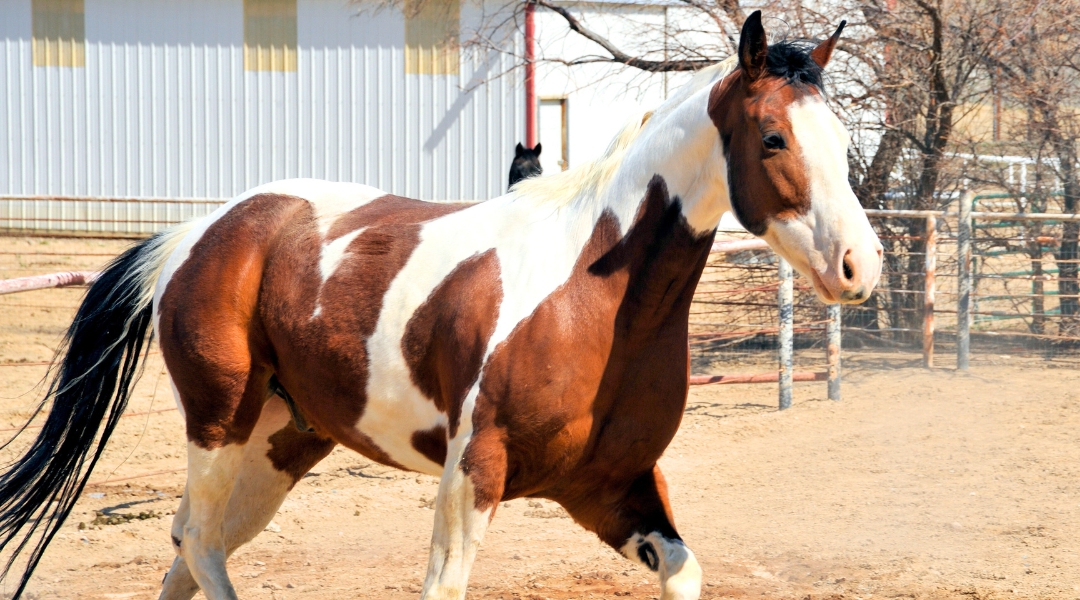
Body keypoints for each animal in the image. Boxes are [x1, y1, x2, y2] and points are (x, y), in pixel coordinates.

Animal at [0, 10, 876, 600]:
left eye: (838, 138)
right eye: (772, 138)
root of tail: (198, 233)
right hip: (219, 423)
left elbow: (685, 571)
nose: (858, 265)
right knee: (201, 543)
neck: (592, 301)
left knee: (189, 546)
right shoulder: (472, 476)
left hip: (283, 441)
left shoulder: (612, 489)